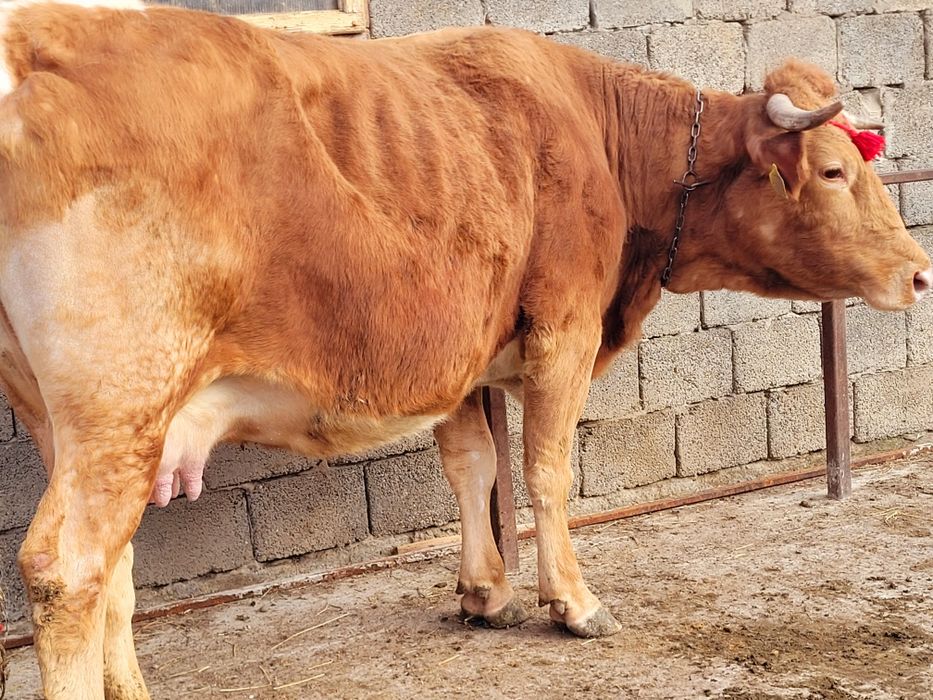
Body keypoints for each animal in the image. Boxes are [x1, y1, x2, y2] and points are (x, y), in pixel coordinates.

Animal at [0, 1, 929, 697]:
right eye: (834, 171)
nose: (919, 273)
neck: (599, 134)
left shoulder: (457, 351)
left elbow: (471, 463)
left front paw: (486, 592)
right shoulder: (561, 332)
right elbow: (544, 472)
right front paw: (573, 602)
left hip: (65, 415)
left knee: (112, 567)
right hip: (120, 400)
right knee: (66, 568)